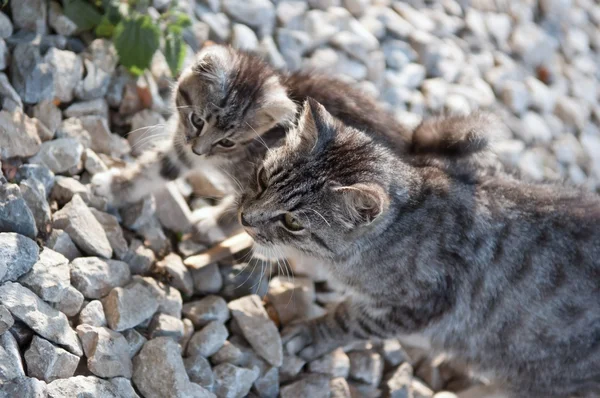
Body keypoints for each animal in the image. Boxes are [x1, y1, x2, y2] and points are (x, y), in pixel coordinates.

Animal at [238, 98, 600, 398]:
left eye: (293, 222)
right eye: (262, 179)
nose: (245, 218)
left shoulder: (421, 305)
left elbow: (349, 319)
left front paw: (314, 334)